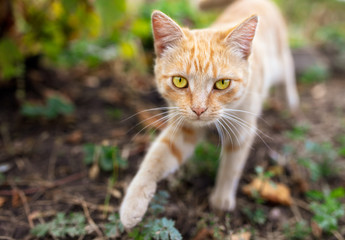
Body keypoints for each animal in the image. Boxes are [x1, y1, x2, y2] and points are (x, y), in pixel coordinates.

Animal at [119, 0, 296, 229]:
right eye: (179, 81)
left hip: (280, 61)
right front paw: (132, 204)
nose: (199, 109)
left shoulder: (242, 131)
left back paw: (290, 100)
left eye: (222, 83)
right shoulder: (183, 129)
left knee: (288, 66)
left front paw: (221, 199)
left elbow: (231, 167)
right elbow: (154, 159)